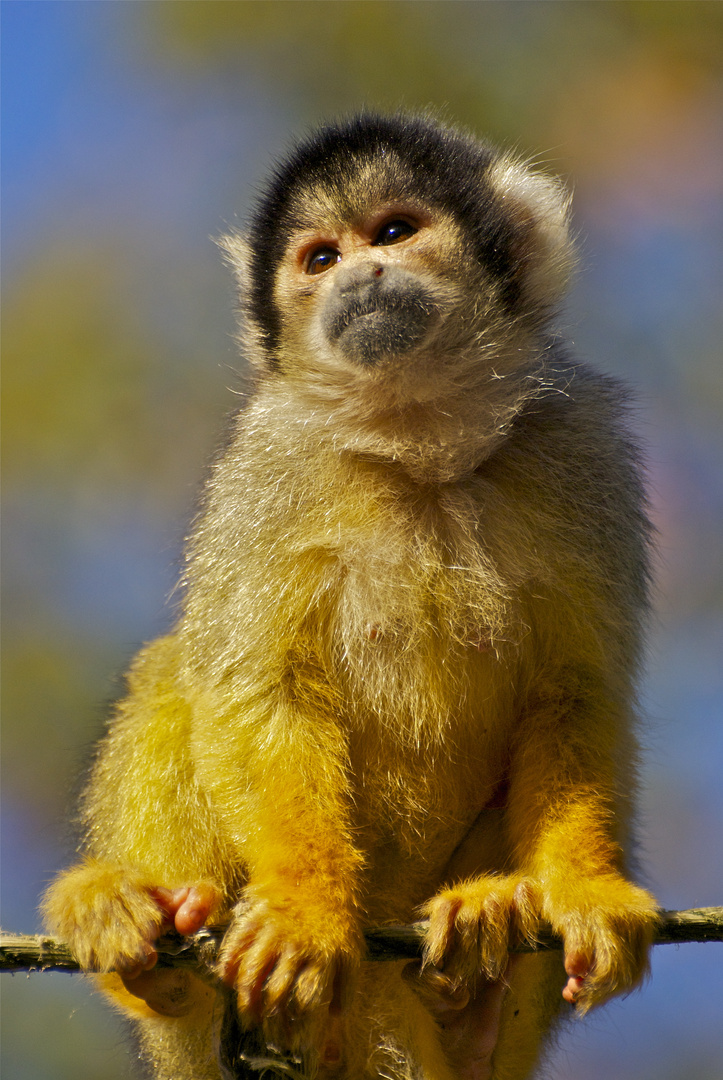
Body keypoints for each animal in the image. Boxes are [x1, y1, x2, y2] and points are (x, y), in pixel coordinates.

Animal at [42, 113, 657, 1075]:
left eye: (394, 232)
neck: (418, 440)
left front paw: (583, 887)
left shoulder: (580, 441)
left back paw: (477, 980)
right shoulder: (272, 455)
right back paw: (153, 963)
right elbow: (257, 684)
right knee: (178, 667)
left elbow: (576, 692)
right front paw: (303, 908)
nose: (360, 276)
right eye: (320, 257)